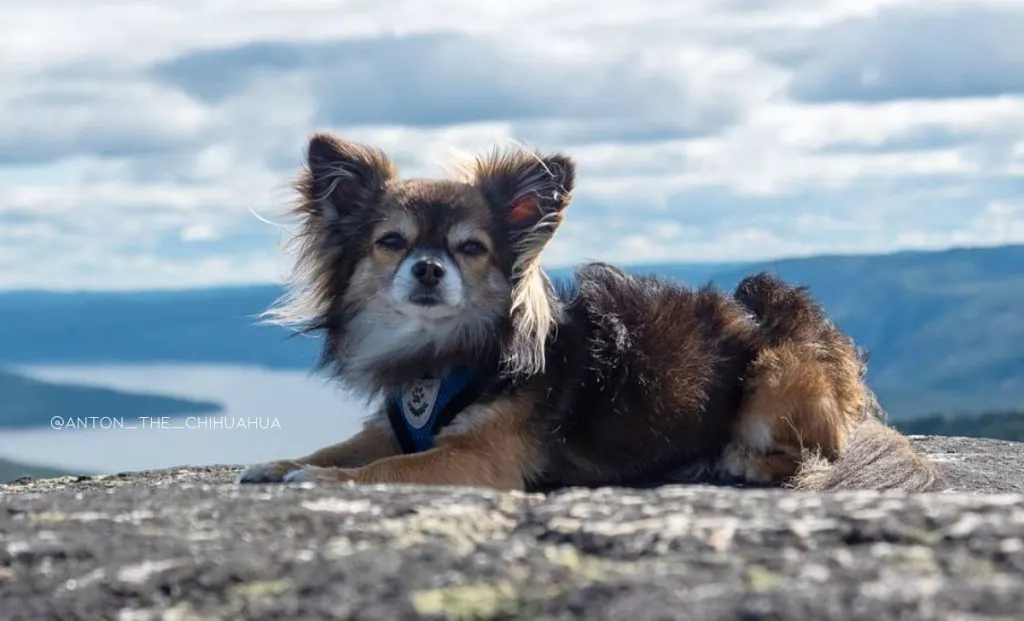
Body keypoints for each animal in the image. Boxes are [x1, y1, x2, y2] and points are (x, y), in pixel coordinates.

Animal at [235, 134, 937, 493]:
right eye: (392, 242)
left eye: (471, 248)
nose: (429, 269)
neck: (444, 357)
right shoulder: (387, 426)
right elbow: (341, 448)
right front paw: (283, 464)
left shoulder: (477, 460)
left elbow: (384, 470)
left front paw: (318, 483)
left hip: (779, 370)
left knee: (808, 453)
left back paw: (736, 459)